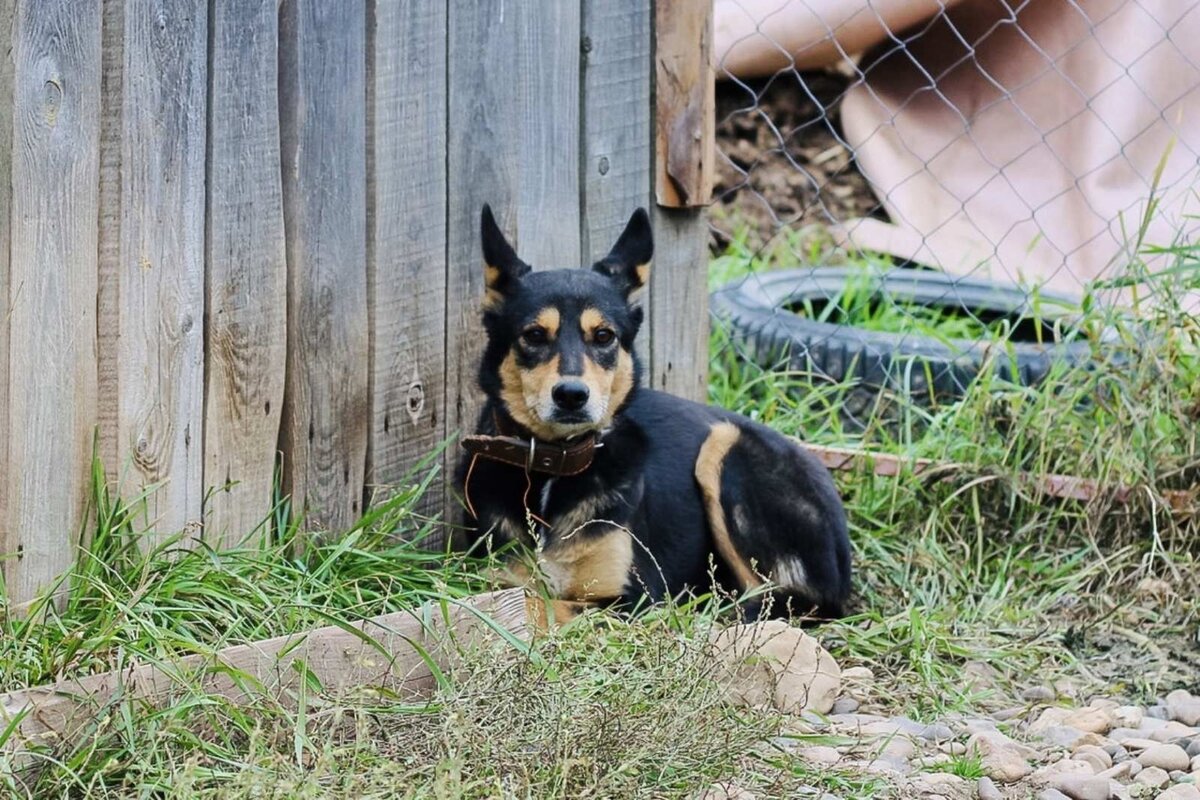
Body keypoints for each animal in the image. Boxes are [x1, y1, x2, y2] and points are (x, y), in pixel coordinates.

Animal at [458, 205, 854, 618]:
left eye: (604, 336)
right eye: (534, 335)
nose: (571, 395)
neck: (555, 465)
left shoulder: (633, 598)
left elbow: (545, 606)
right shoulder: (493, 576)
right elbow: (521, 597)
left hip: (725, 447)